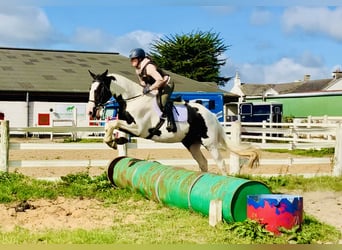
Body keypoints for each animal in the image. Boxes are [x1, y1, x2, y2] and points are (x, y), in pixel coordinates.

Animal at [87, 69, 258, 175]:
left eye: (98, 89)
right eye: (90, 88)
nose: (90, 111)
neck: (133, 99)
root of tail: (211, 116)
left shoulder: (139, 128)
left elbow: (112, 124)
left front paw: (112, 142)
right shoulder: (127, 123)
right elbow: (113, 126)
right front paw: (115, 141)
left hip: (210, 143)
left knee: (220, 163)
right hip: (191, 143)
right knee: (203, 162)